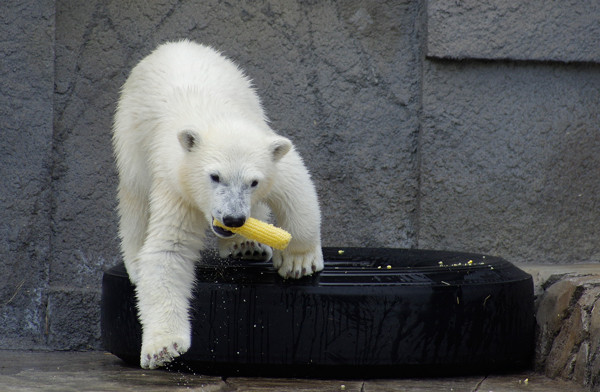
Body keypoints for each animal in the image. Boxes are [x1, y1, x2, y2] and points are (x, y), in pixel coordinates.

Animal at [110, 40, 322, 370]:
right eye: (214, 176)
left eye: (253, 182)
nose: (233, 219)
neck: (217, 119)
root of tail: (172, 45)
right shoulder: (177, 182)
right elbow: (169, 248)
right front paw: (163, 348)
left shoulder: (267, 152)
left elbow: (295, 187)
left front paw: (298, 261)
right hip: (131, 136)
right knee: (135, 198)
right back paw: (134, 262)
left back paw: (247, 245)